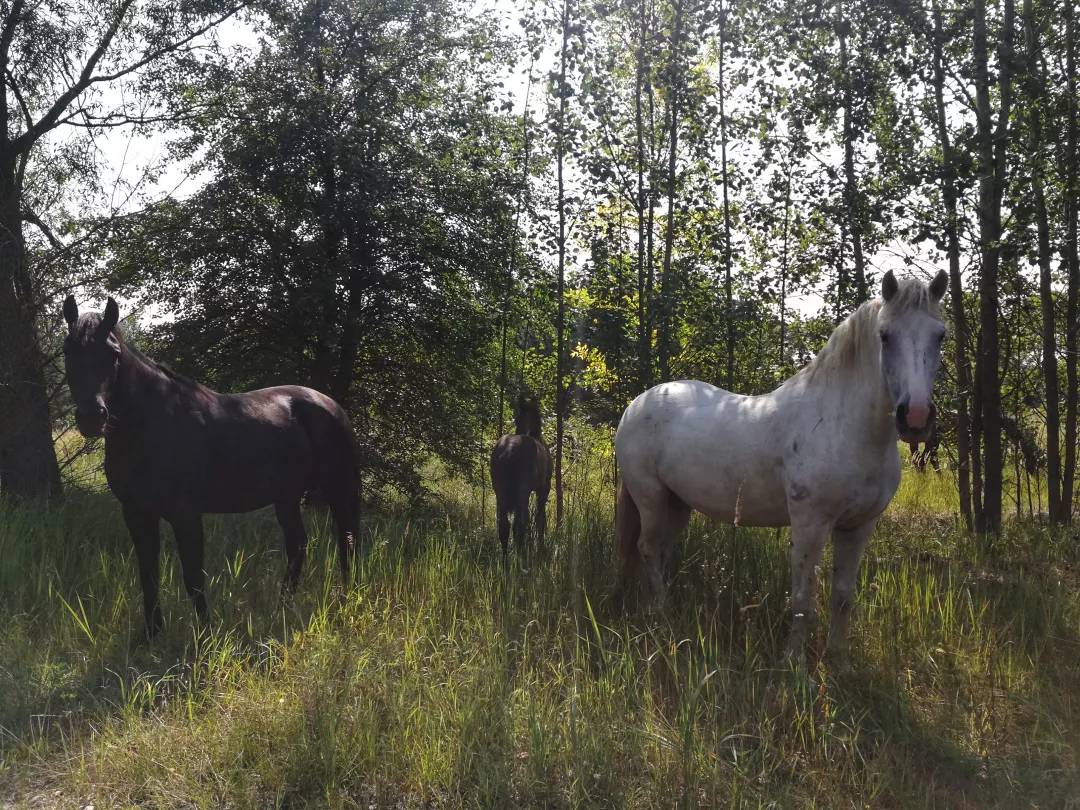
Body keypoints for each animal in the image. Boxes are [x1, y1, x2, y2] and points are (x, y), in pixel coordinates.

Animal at [64, 295, 362, 639]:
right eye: (67, 351)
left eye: (113, 354)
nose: (91, 417)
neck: (152, 424)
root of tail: (331, 404)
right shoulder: (137, 513)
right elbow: (148, 575)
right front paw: (152, 635)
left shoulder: (185, 515)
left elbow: (193, 577)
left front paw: (205, 634)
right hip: (286, 498)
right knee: (298, 545)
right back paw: (283, 606)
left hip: (339, 489)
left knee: (348, 541)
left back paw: (347, 600)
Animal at [492, 395, 552, 557]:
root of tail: (508, 450)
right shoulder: (543, 489)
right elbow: (540, 519)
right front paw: (541, 547)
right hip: (522, 493)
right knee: (518, 526)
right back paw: (521, 556)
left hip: (500, 492)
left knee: (504, 527)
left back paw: (506, 559)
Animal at [617, 273, 946, 665]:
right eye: (885, 335)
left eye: (940, 335)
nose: (916, 417)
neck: (843, 426)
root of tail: (638, 403)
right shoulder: (810, 524)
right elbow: (803, 599)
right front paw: (793, 661)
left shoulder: (858, 526)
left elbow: (843, 596)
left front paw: (839, 659)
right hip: (650, 498)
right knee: (648, 548)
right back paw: (660, 614)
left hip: (677, 504)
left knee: (661, 550)